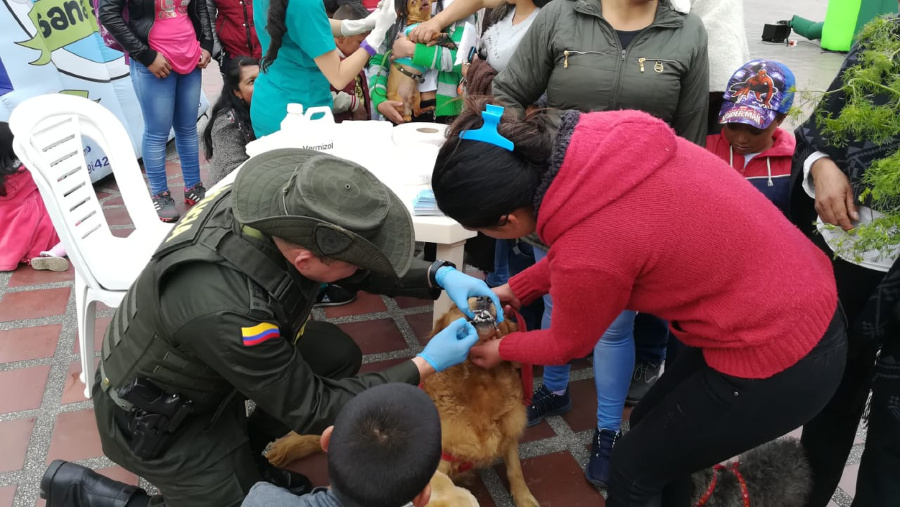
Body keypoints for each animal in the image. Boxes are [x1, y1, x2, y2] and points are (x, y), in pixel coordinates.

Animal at [265, 297, 538, 507]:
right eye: (455, 305)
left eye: (498, 301)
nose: (484, 298)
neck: (480, 382)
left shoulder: (510, 433)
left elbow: (516, 470)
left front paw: (525, 498)